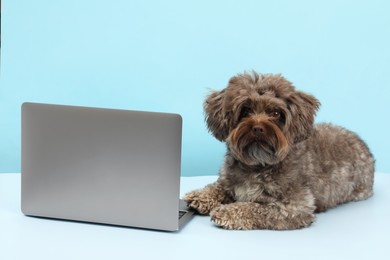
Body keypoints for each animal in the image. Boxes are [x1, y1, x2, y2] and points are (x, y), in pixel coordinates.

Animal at [184, 72, 376, 231]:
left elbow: (256, 208)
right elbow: (218, 186)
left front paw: (228, 211)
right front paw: (200, 195)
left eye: (276, 113)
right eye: (245, 110)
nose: (258, 128)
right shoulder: (229, 180)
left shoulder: (293, 208)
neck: (258, 164)